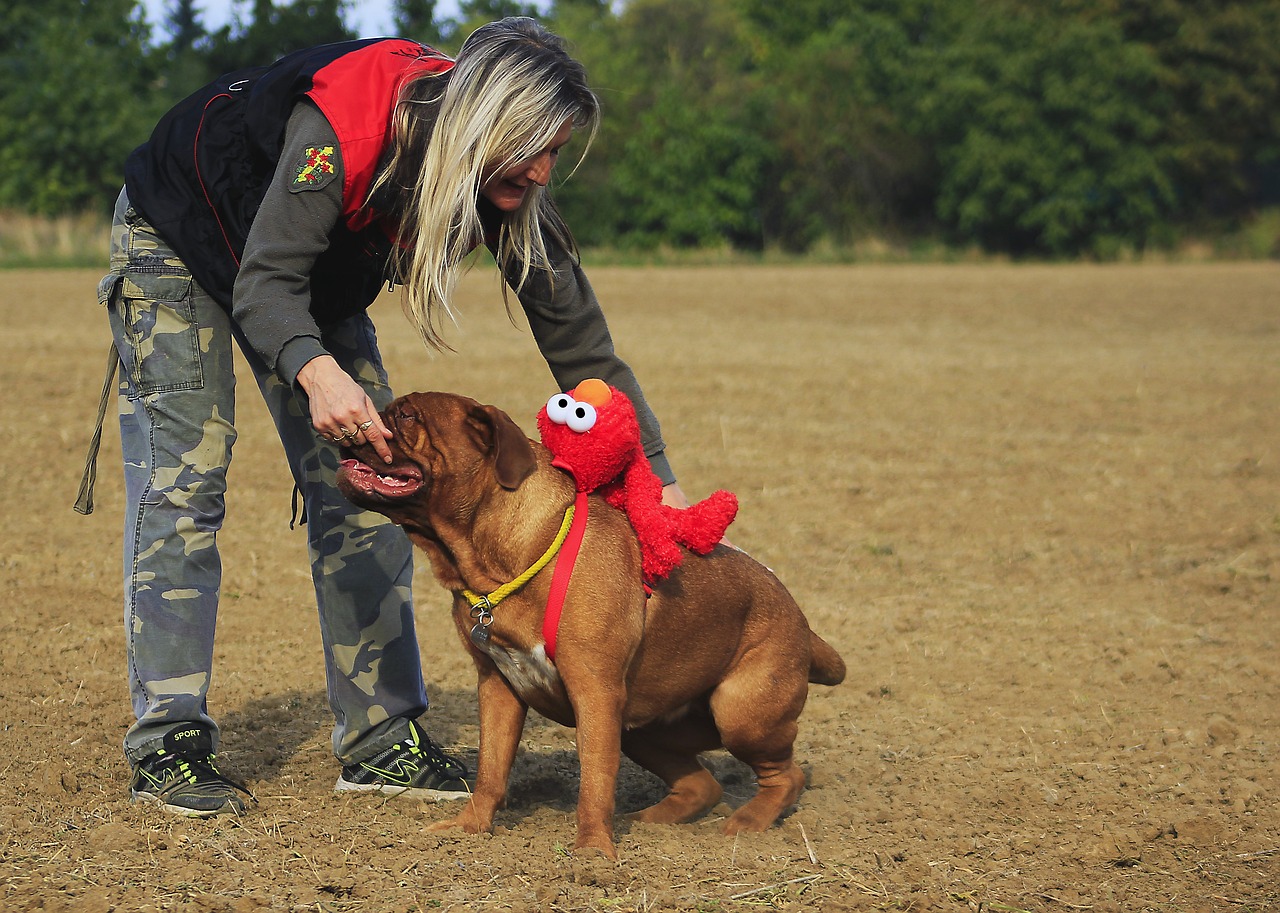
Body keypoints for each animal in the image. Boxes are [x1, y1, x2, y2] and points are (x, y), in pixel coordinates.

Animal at [335, 389, 844, 855]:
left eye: (405, 415)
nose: (357, 425)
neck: (493, 556)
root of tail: (803, 622)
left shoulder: (594, 691)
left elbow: (594, 782)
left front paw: (593, 854)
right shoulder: (498, 687)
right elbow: (492, 769)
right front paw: (468, 828)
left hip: (740, 713)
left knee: (787, 776)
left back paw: (747, 823)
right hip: (642, 727)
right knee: (703, 784)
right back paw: (652, 820)